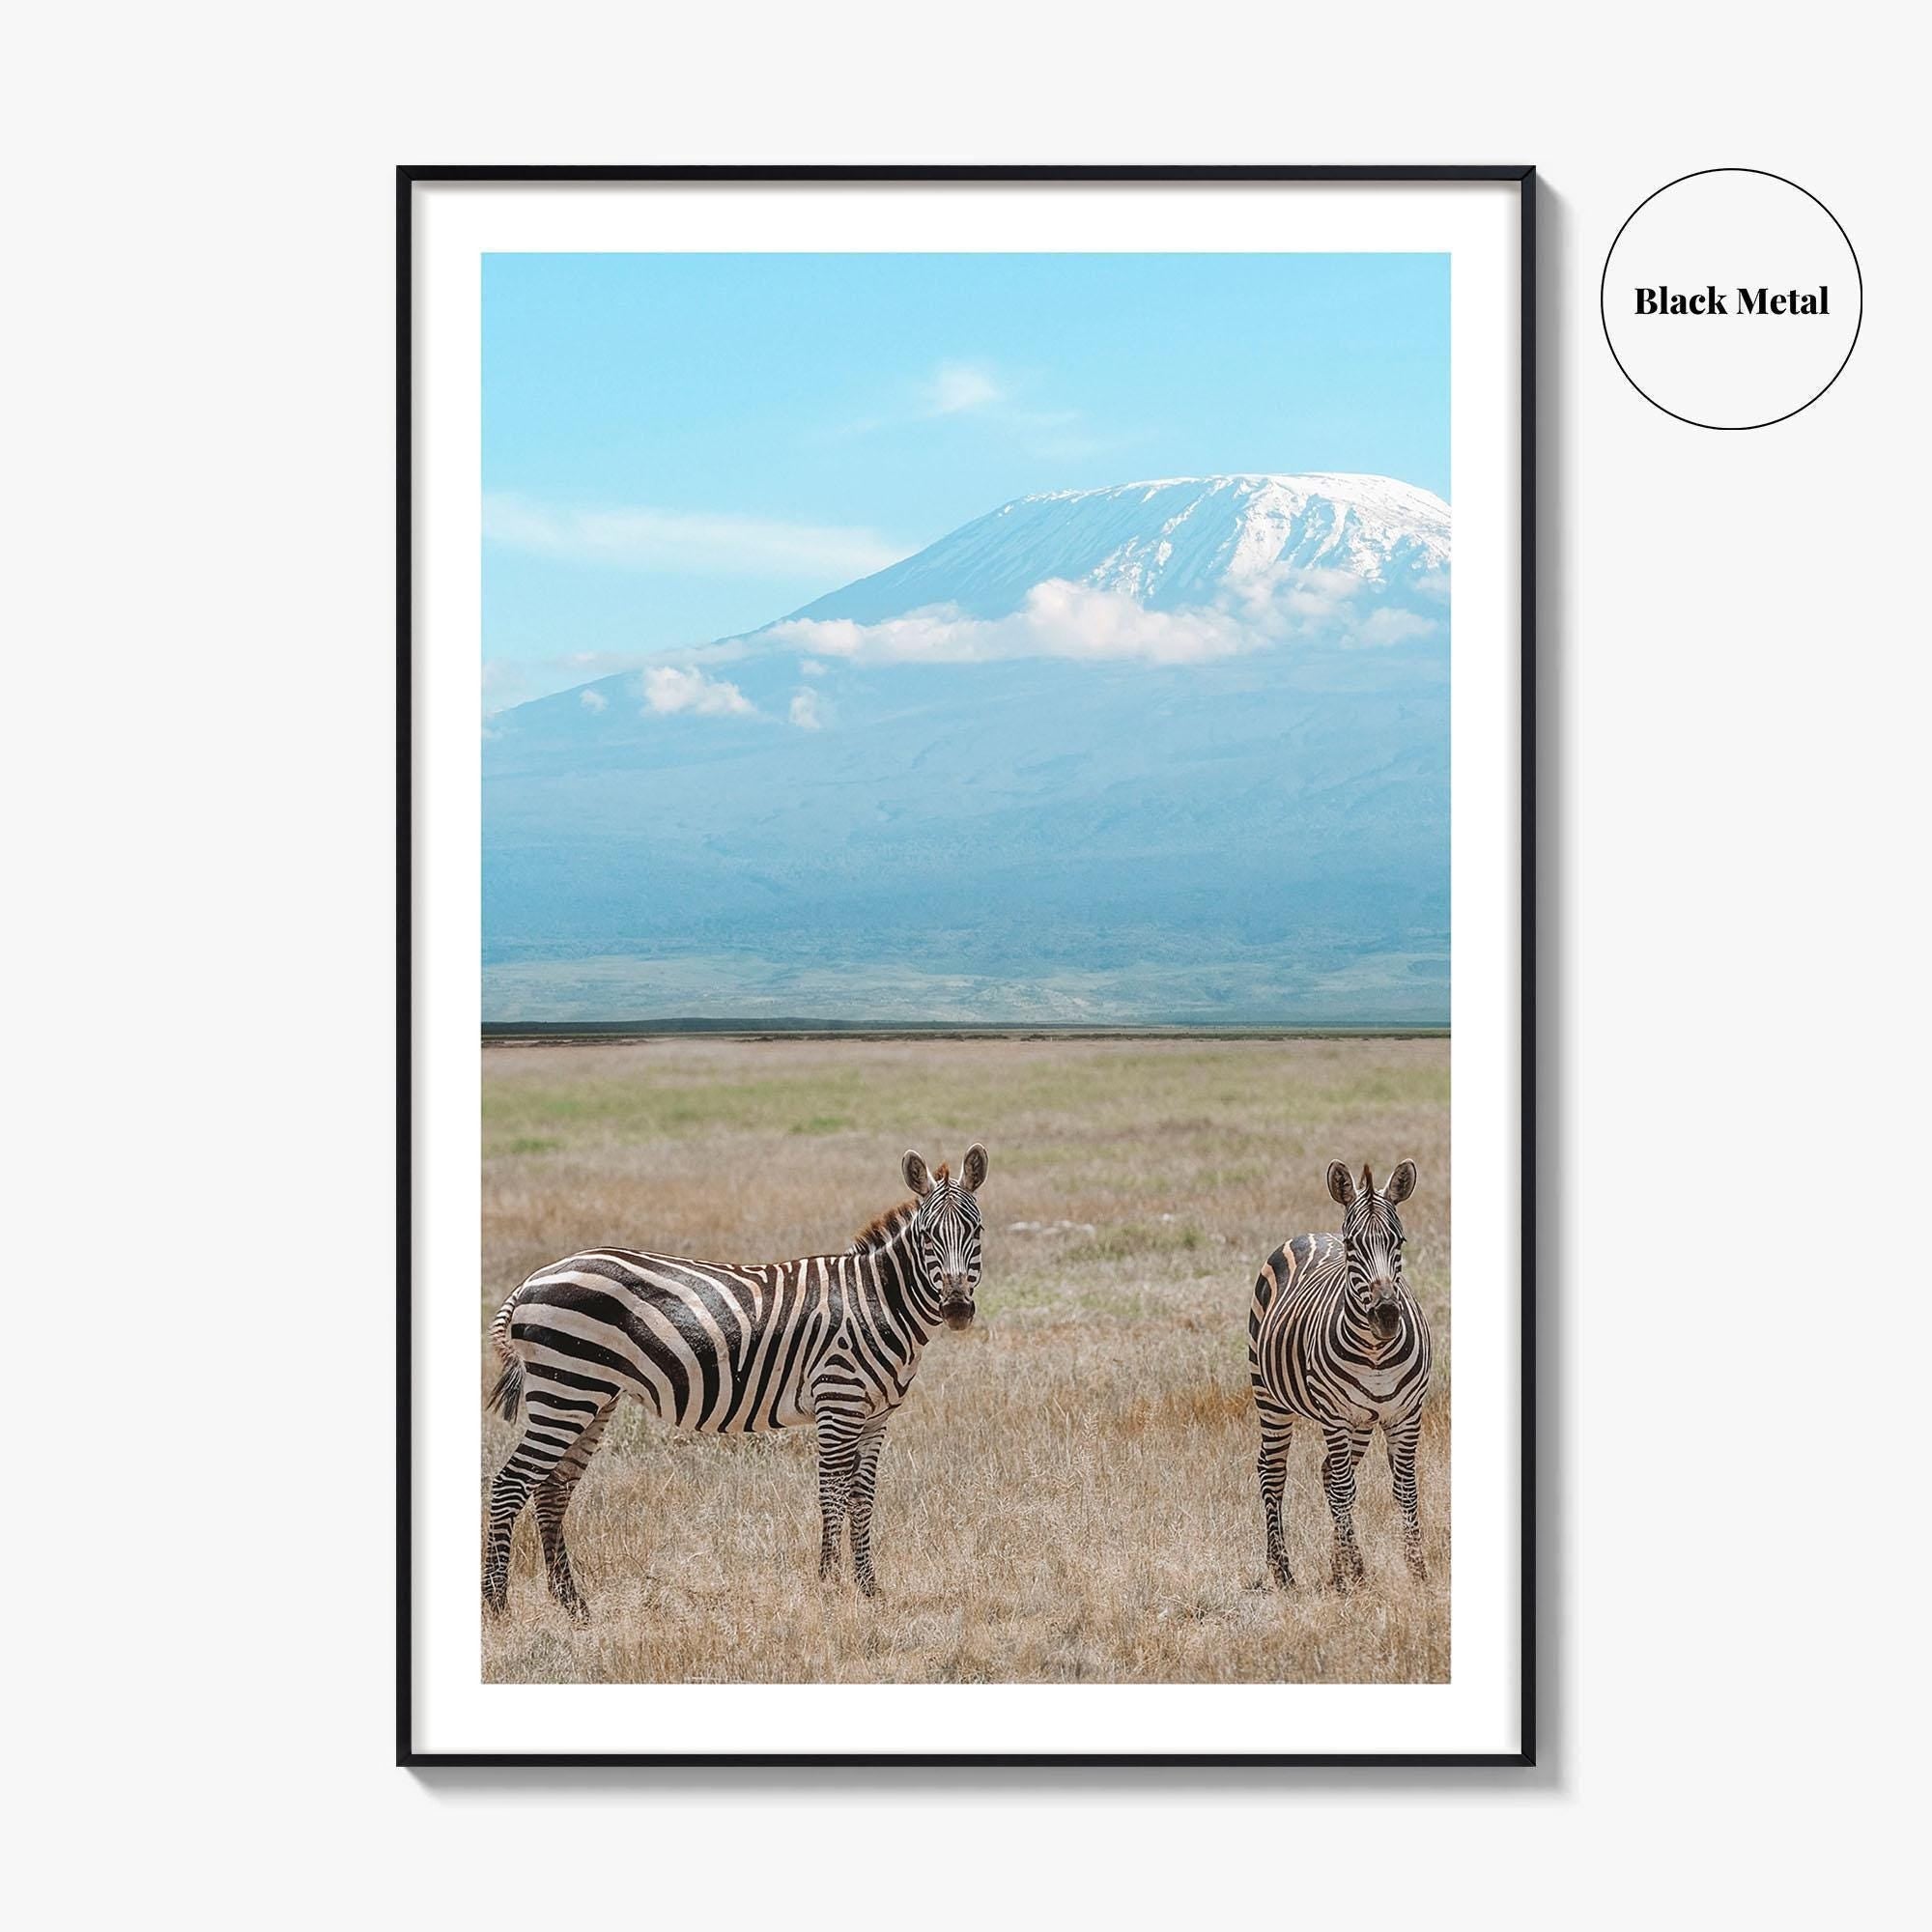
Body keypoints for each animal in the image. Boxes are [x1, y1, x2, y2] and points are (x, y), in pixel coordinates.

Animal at [482, 1143, 989, 1614]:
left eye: (977, 1231)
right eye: (926, 1236)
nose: (957, 1309)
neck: (876, 1300)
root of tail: (533, 1279)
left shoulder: (876, 1417)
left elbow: (863, 1498)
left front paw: (868, 1590)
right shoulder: (838, 1402)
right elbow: (832, 1494)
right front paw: (829, 1588)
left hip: (591, 1396)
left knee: (552, 1489)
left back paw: (573, 1606)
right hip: (566, 1388)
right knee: (510, 1484)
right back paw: (498, 1605)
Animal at [1248, 1160, 1433, 1590]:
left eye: (1399, 1242)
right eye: (1352, 1246)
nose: (1386, 1316)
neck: (1376, 1352)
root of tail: (1312, 1234)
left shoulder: (1406, 1414)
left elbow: (1405, 1488)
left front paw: (1417, 1571)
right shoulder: (1334, 1416)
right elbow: (1346, 1489)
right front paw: (1359, 1573)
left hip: (1362, 1422)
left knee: (1329, 1473)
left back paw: (1335, 1570)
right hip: (1269, 1397)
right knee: (1274, 1471)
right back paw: (1283, 1572)